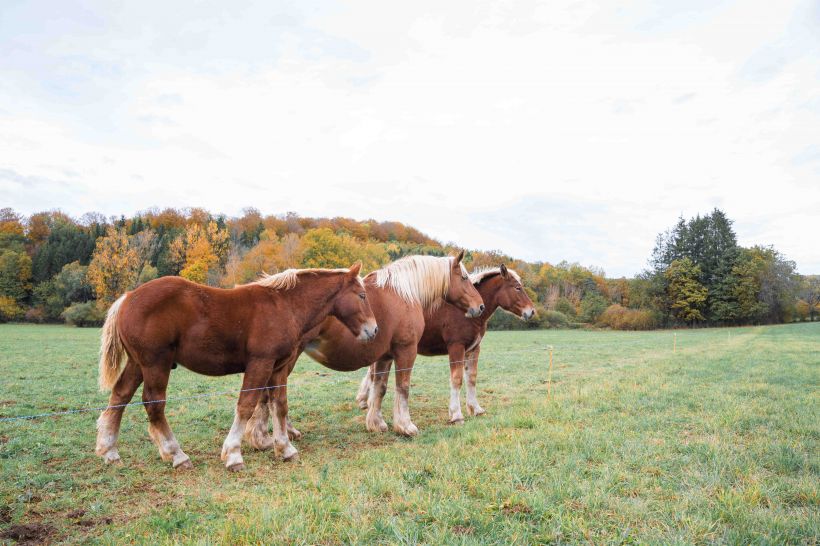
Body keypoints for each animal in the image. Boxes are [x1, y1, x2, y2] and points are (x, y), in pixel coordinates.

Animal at [94, 263, 377, 471]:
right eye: (362, 295)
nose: (373, 330)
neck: (284, 305)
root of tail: (128, 297)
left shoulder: (278, 367)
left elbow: (279, 405)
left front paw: (285, 449)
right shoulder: (260, 363)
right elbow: (246, 405)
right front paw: (233, 455)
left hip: (138, 364)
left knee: (120, 396)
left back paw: (110, 451)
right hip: (156, 363)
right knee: (154, 403)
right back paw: (176, 455)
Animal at [245, 252, 484, 445]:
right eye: (464, 278)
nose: (480, 306)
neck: (404, 294)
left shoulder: (385, 356)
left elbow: (380, 388)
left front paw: (376, 423)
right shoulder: (406, 351)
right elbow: (403, 388)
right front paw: (405, 426)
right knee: (270, 393)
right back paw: (267, 436)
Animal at [355, 264, 535, 423]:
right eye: (517, 288)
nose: (531, 311)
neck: (466, 312)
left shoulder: (473, 349)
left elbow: (471, 378)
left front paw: (476, 409)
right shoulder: (456, 347)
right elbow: (457, 379)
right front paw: (456, 415)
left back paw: (365, 401)